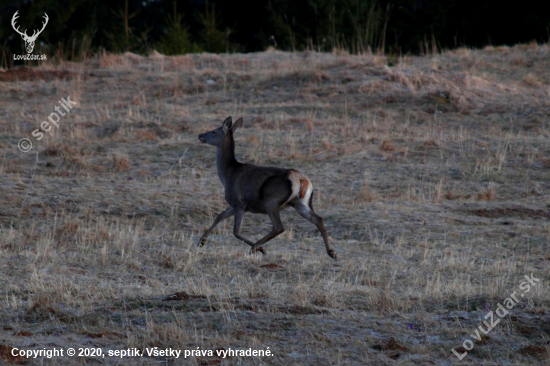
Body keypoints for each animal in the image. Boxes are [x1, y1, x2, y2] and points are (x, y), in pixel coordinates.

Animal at [198, 116, 336, 258]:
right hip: (300, 202)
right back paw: (331, 252)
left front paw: (261, 249)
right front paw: (201, 241)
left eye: (214, 131)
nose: (200, 135)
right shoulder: (236, 204)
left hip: (271, 200)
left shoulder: (239, 202)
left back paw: (255, 247)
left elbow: (236, 231)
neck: (228, 175)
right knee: (319, 219)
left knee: (279, 227)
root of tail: (301, 180)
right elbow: (219, 216)